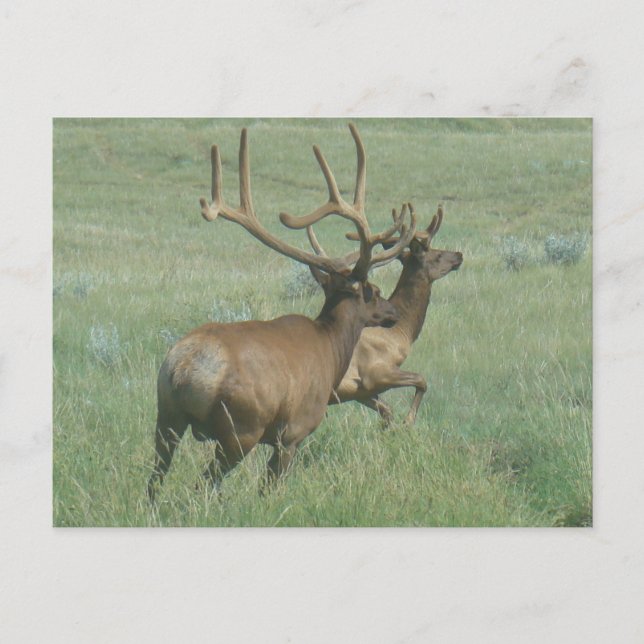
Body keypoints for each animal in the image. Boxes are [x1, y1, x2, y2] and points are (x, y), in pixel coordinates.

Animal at [147, 124, 417, 502]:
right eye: (373, 292)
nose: (392, 312)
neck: (332, 348)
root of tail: (183, 370)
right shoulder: (294, 431)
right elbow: (270, 489)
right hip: (240, 429)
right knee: (201, 485)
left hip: (166, 417)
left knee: (153, 483)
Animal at [306, 203, 463, 427]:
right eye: (437, 254)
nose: (459, 255)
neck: (402, 332)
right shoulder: (375, 372)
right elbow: (422, 380)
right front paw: (408, 421)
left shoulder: (360, 391)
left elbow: (387, 411)